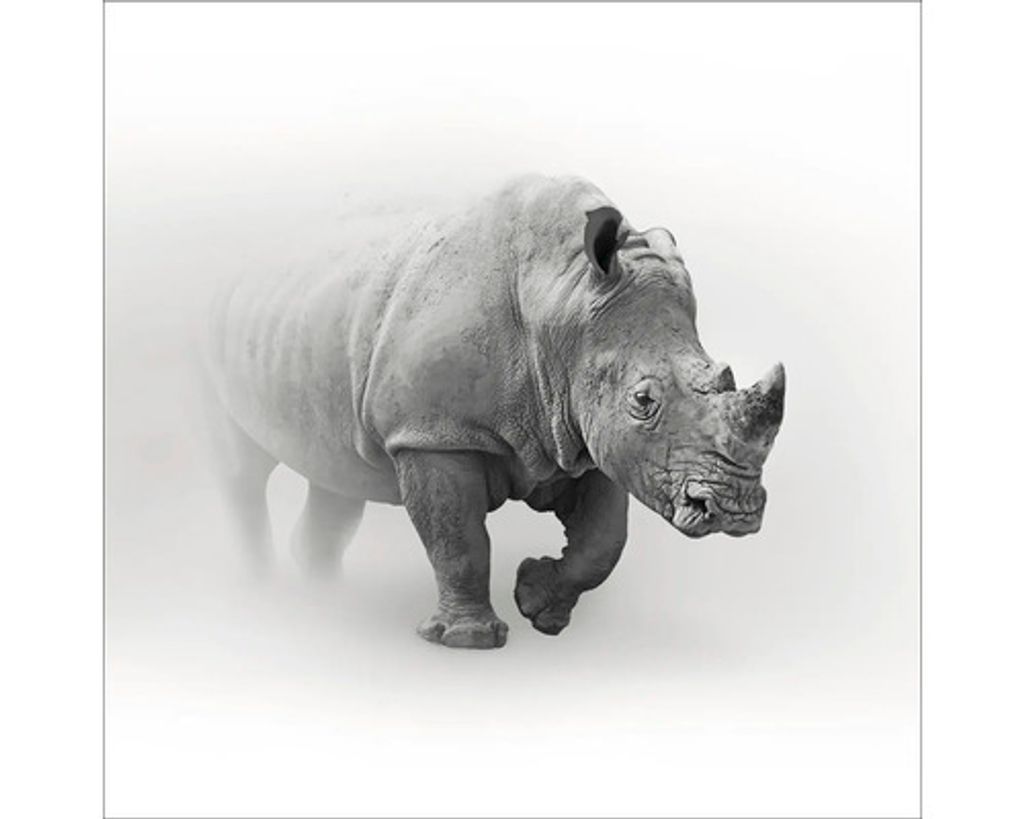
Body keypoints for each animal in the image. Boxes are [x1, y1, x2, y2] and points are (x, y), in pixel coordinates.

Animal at [199, 175, 785, 649]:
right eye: (643, 401)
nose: (734, 510)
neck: (563, 300)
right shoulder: (434, 434)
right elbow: (459, 539)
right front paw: (467, 641)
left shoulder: (585, 433)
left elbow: (604, 540)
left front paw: (539, 607)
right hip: (216, 326)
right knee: (243, 470)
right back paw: (260, 586)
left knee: (336, 473)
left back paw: (320, 588)